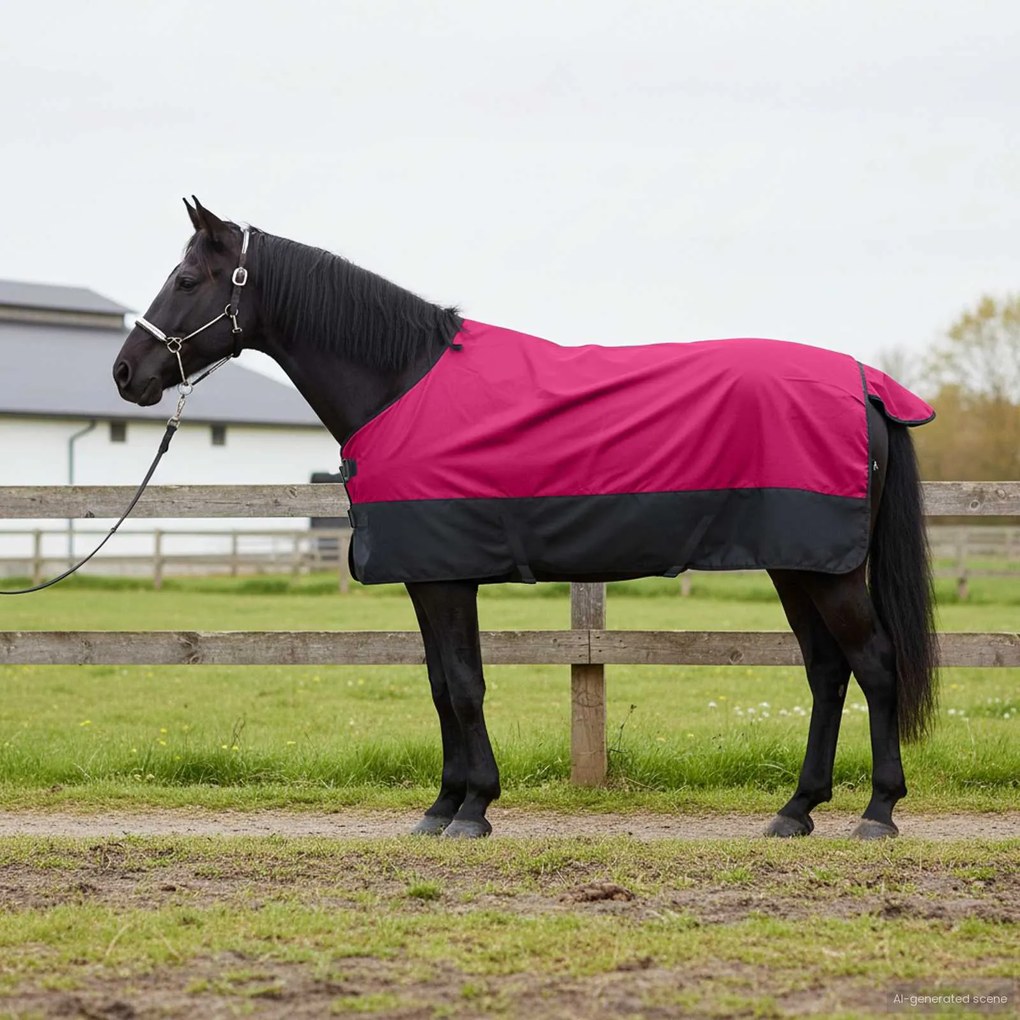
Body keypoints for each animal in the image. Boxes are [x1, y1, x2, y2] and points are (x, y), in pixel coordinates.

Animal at [113, 198, 938, 840]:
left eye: (186, 279)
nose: (126, 373)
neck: (400, 381)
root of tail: (865, 383)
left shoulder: (445, 579)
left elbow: (463, 686)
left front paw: (472, 808)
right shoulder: (431, 578)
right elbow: (442, 685)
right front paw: (444, 805)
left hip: (827, 571)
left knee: (874, 664)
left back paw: (878, 812)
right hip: (798, 565)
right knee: (827, 671)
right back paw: (796, 810)